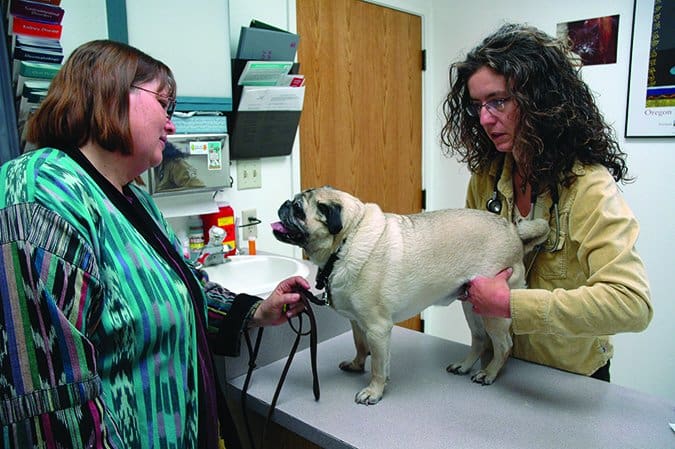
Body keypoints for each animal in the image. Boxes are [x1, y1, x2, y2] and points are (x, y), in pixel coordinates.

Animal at [270, 186, 548, 402]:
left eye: (298, 210)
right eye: (292, 204)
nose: (284, 204)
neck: (346, 241)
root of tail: (513, 231)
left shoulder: (378, 328)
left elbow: (378, 364)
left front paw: (374, 391)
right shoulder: (357, 322)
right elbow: (360, 346)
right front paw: (357, 365)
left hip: (493, 309)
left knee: (503, 345)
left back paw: (489, 373)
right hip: (472, 305)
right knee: (480, 340)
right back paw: (464, 366)